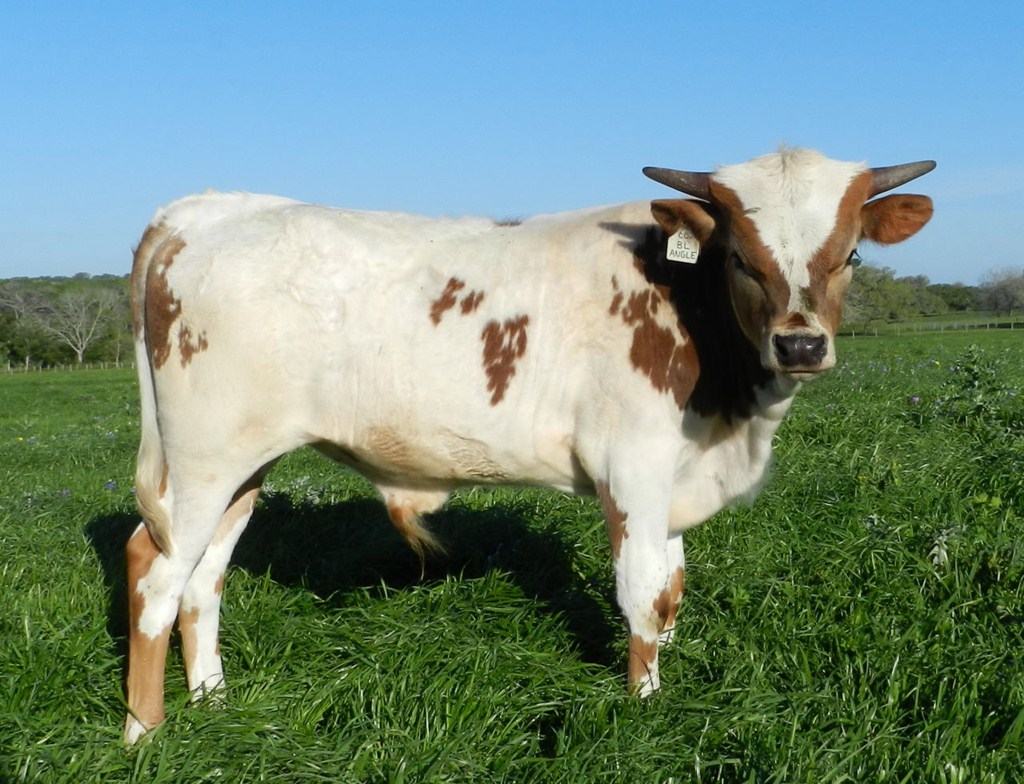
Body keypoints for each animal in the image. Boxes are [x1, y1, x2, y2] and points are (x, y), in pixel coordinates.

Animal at [123, 148, 934, 742]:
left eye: (852, 254)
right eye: (740, 257)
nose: (800, 345)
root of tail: (207, 207)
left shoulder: (673, 477)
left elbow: (671, 589)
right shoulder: (631, 467)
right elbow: (641, 592)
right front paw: (646, 704)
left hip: (242, 468)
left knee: (201, 579)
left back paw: (213, 700)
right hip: (203, 463)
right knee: (156, 577)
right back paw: (145, 733)